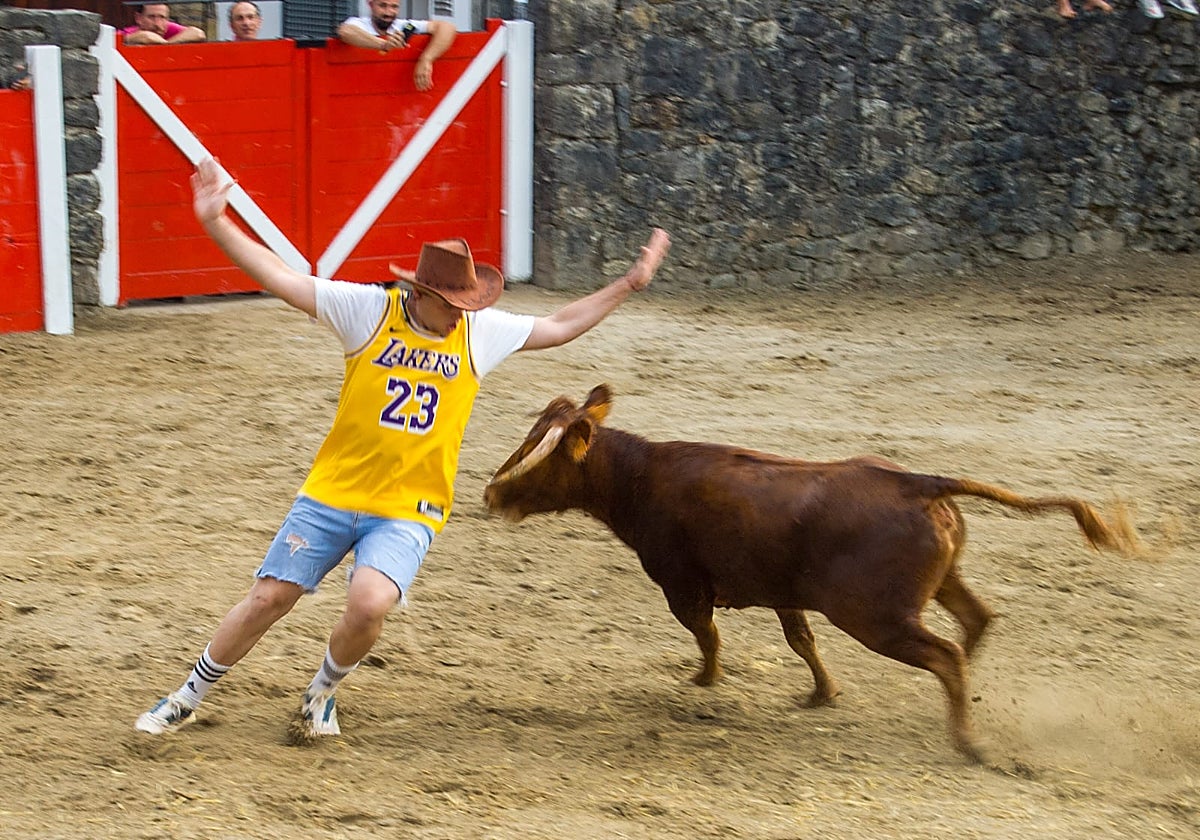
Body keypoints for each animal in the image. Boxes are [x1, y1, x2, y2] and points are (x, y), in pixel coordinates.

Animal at [482, 384, 1139, 762]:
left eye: (540, 456)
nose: (491, 492)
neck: (639, 477)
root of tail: (920, 482)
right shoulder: (783, 593)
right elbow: (801, 640)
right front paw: (824, 694)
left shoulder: (682, 586)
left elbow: (707, 635)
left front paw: (705, 681)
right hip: (937, 584)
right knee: (976, 622)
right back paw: (960, 707)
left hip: (876, 617)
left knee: (947, 651)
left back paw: (967, 742)